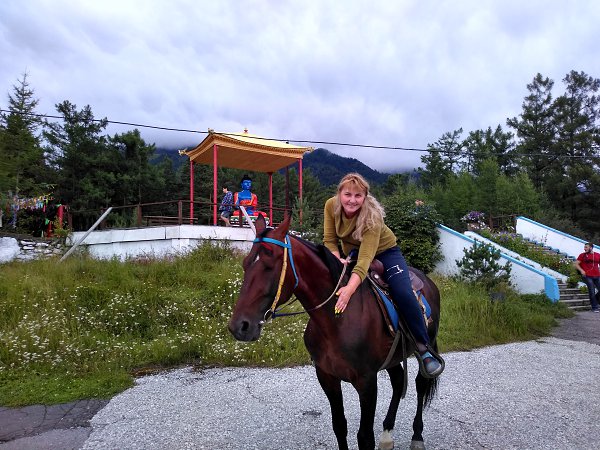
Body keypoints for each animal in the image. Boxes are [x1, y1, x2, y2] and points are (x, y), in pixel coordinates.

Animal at [228, 215, 441, 450]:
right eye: (245, 264)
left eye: (268, 266)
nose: (240, 326)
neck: (337, 321)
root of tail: (427, 280)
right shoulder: (327, 376)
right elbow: (339, 425)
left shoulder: (367, 382)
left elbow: (364, 437)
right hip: (392, 356)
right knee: (398, 381)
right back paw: (387, 434)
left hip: (425, 346)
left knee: (421, 384)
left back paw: (417, 436)